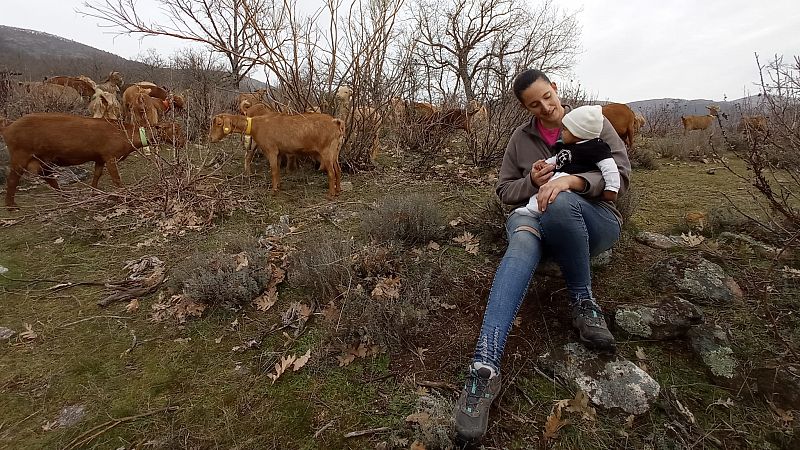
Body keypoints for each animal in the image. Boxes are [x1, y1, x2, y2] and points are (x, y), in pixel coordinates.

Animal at [0, 114, 184, 209]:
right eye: (174, 130)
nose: (183, 141)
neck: (123, 133)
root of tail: (7, 127)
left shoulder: (99, 158)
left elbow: (96, 175)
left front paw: (94, 194)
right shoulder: (110, 157)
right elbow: (116, 180)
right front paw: (126, 197)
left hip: (42, 159)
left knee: (48, 177)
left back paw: (66, 196)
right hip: (20, 155)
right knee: (13, 179)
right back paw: (10, 205)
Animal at [208, 112, 342, 197]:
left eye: (219, 123)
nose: (211, 138)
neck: (256, 125)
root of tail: (336, 123)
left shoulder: (271, 150)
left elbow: (273, 170)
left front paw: (273, 191)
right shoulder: (279, 153)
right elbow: (277, 170)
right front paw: (278, 186)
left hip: (326, 151)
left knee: (331, 172)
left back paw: (331, 194)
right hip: (335, 151)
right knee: (338, 170)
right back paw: (338, 190)